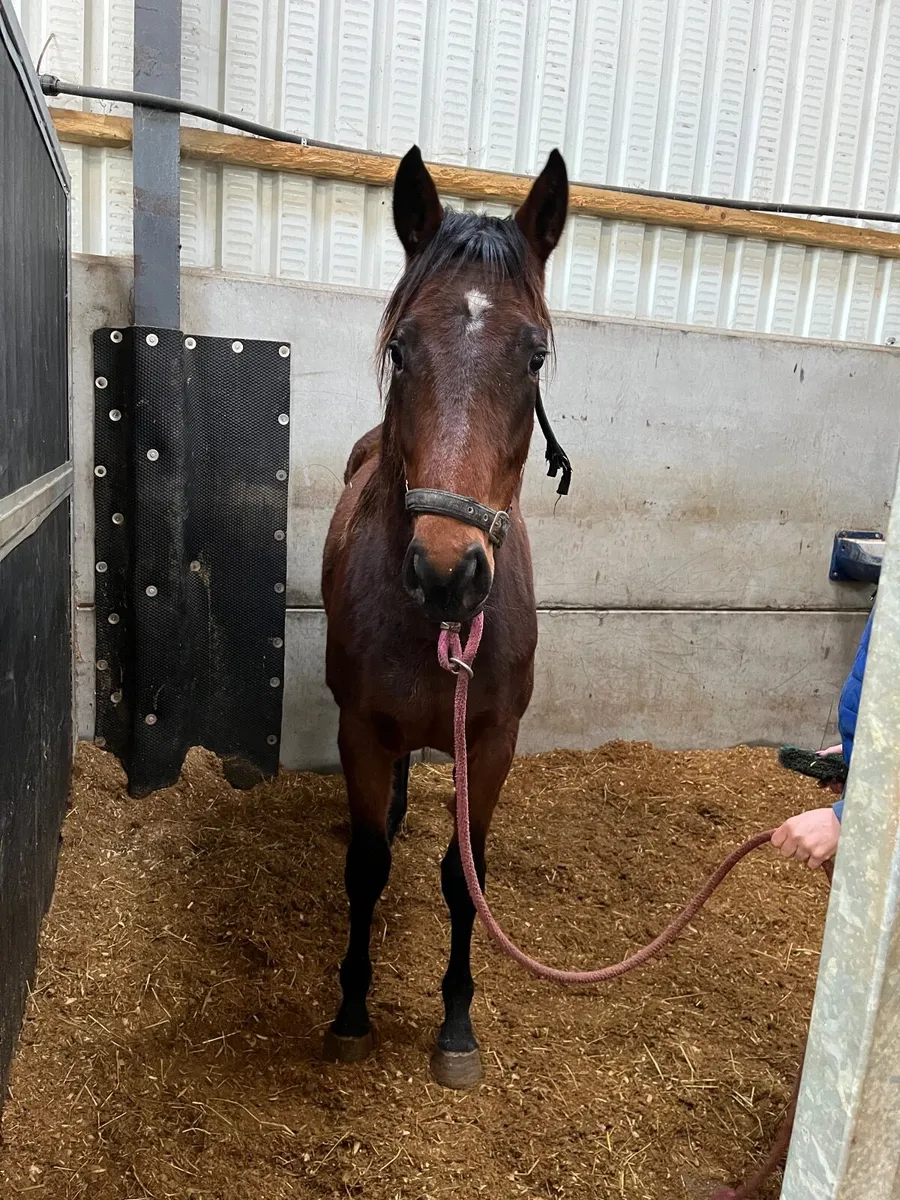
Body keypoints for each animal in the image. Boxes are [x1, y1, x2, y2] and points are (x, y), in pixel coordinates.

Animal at [321, 144, 569, 1088]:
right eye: (401, 348)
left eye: (534, 358)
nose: (447, 574)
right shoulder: (361, 728)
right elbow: (366, 866)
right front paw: (351, 1011)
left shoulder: (491, 740)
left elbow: (467, 879)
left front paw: (457, 1024)